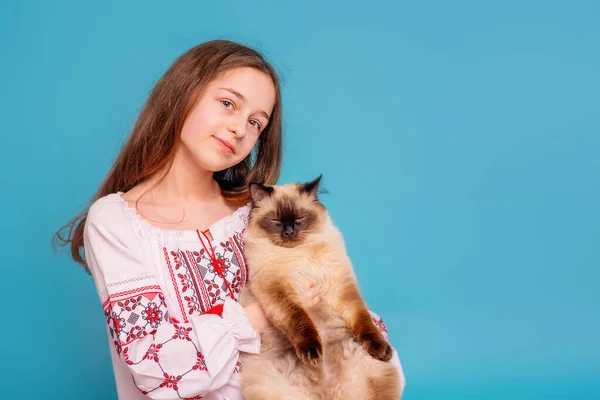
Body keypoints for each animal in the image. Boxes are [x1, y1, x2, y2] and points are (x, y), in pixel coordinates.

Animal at [239, 177, 404, 398]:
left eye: (300, 218)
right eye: (276, 221)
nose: (289, 231)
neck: (300, 253)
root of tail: (327, 394)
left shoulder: (341, 288)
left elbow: (363, 320)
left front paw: (380, 347)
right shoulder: (279, 291)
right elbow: (300, 320)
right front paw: (312, 352)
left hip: (376, 371)